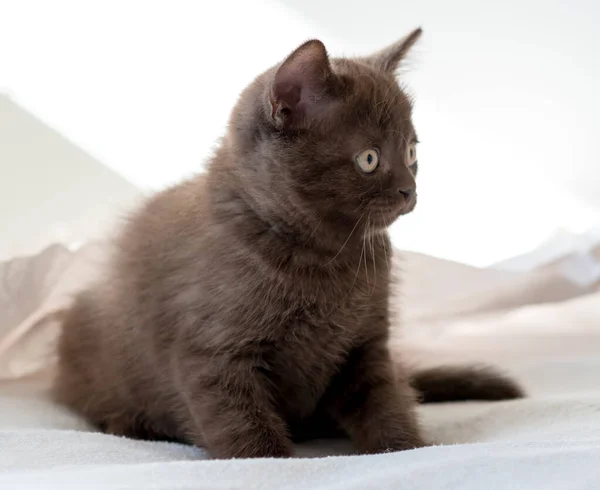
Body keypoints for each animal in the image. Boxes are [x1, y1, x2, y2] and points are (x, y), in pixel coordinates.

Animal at [55, 29, 524, 460]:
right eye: (369, 159)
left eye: (411, 152)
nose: (410, 190)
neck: (325, 259)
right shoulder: (213, 356)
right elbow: (243, 427)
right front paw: (273, 461)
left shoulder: (366, 346)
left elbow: (385, 401)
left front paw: (408, 448)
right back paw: (130, 423)